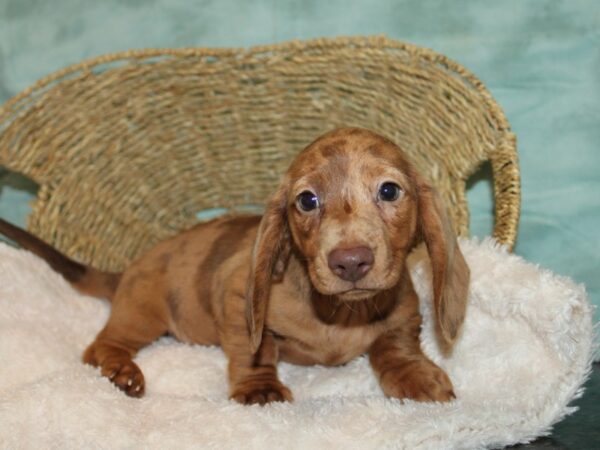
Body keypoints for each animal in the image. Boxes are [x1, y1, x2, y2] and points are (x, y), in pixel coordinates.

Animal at [0, 126, 468, 404]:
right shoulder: (237, 297)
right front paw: (261, 389)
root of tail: (128, 269)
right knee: (99, 346)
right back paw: (120, 370)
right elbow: (254, 349)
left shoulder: (404, 310)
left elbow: (396, 345)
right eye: (307, 200)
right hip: (141, 314)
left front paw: (414, 376)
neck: (339, 313)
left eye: (389, 190)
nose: (350, 262)